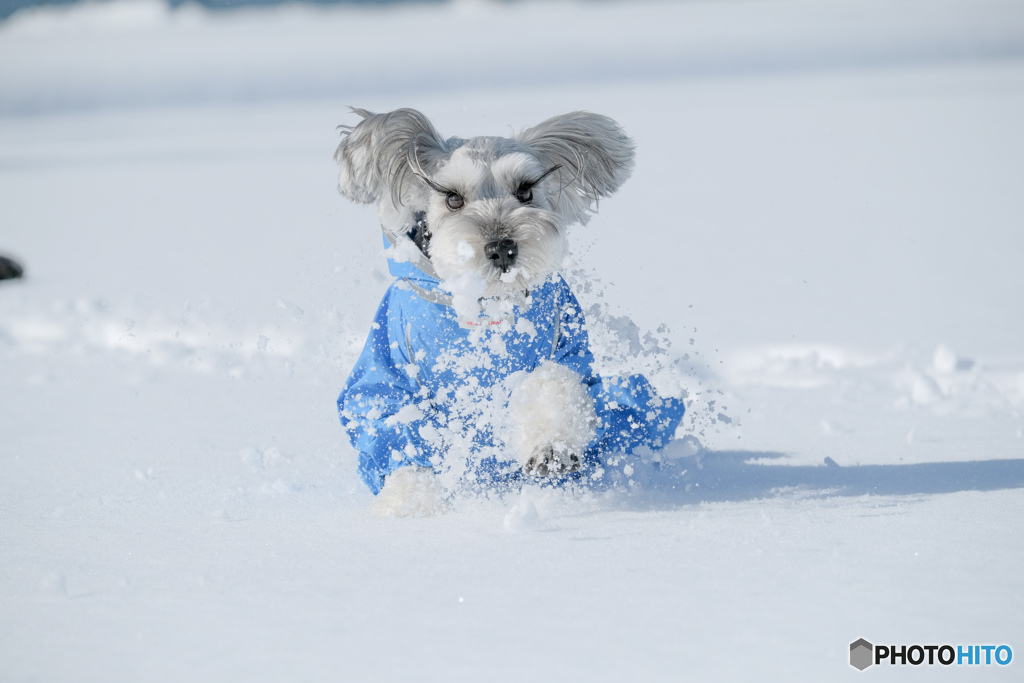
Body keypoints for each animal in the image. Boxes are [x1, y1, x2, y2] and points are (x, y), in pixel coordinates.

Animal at [335, 107, 688, 516]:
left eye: (525, 190)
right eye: (452, 198)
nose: (502, 247)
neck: (486, 308)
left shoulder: (564, 349)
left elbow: (553, 385)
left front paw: (551, 447)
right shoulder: (388, 372)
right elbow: (395, 428)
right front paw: (410, 500)